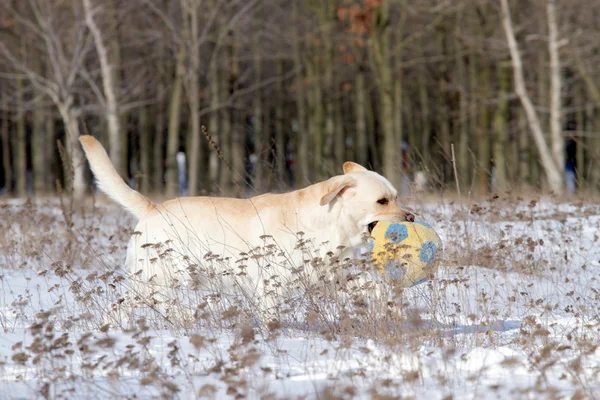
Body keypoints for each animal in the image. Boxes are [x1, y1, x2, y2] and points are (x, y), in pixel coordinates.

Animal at [79, 136, 412, 314]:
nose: (411, 217)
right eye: (383, 201)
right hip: (157, 279)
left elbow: (372, 287)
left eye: (396, 196)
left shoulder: (333, 278)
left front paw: (393, 303)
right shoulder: (269, 289)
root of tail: (152, 207)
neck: (328, 227)